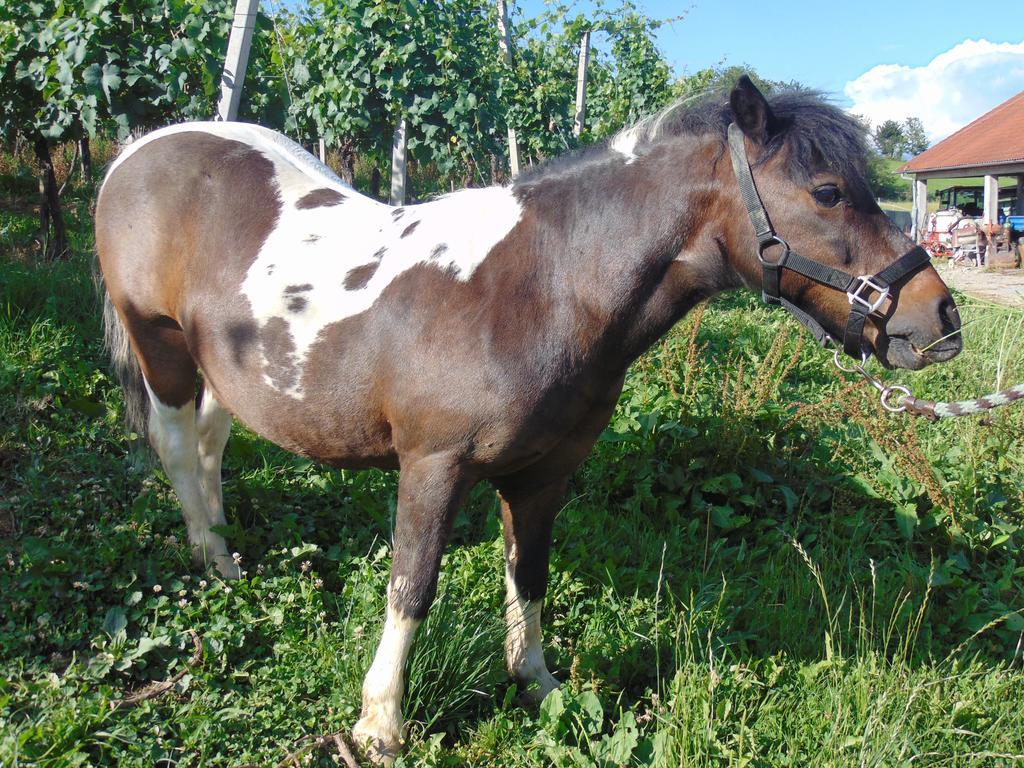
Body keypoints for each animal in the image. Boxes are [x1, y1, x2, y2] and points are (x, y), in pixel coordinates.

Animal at [94, 78, 958, 765]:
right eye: (827, 192)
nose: (939, 319)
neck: (541, 287)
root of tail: (136, 155)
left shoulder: (543, 475)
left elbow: (529, 574)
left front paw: (537, 684)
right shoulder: (432, 467)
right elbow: (412, 585)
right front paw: (381, 724)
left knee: (212, 443)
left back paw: (226, 554)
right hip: (161, 347)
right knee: (178, 448)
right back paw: (212, 559)